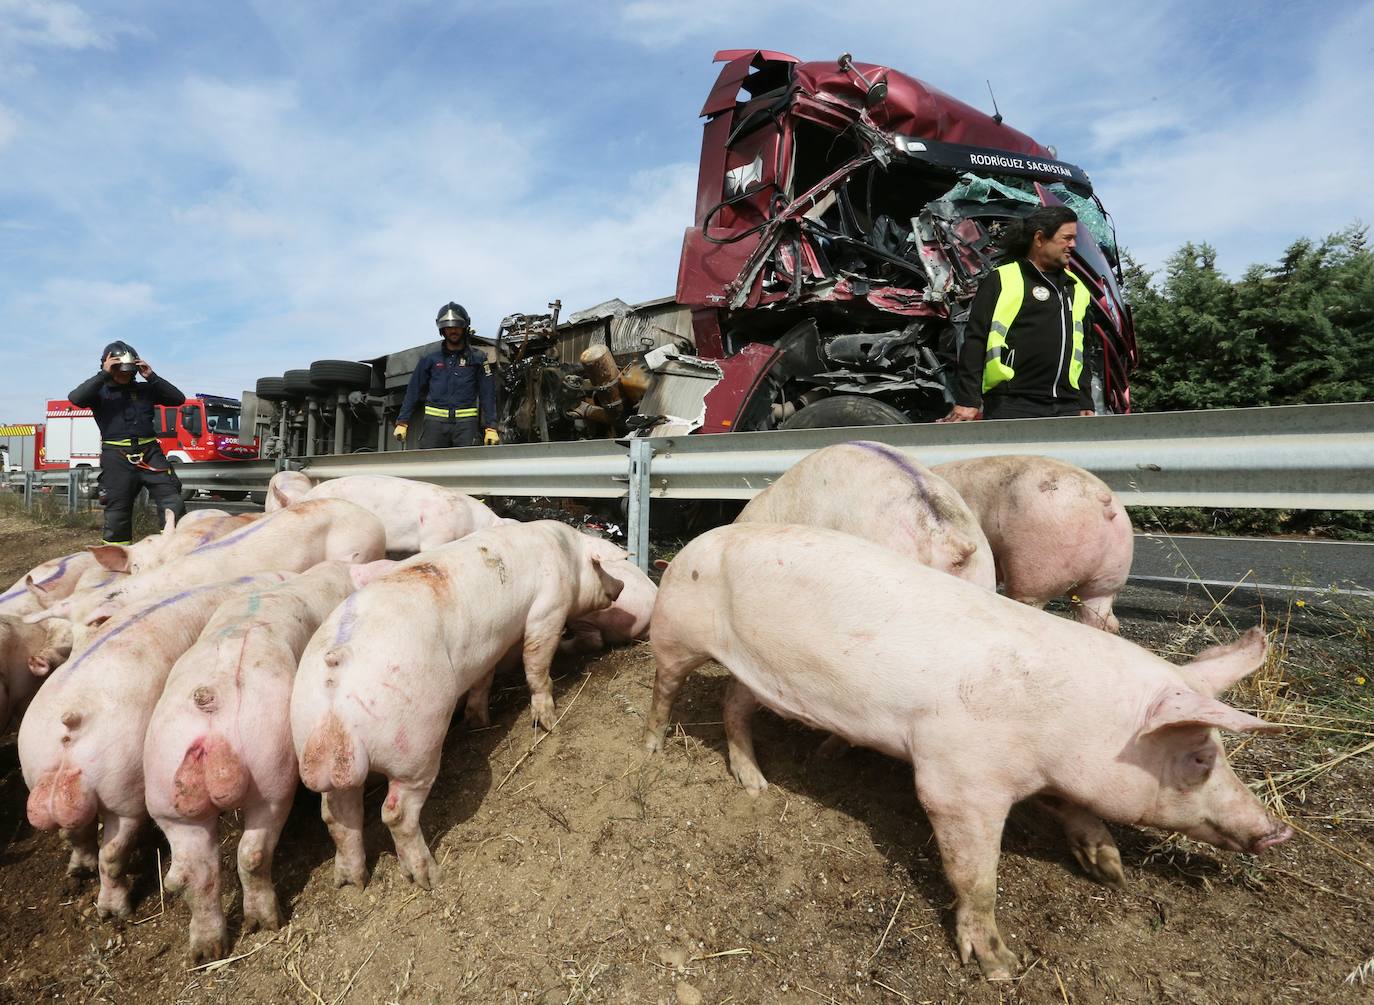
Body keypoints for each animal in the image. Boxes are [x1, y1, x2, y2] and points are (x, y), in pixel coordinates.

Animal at [295, 522, 629, 890]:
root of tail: (337, 664)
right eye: (600, 566)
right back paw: (428, 877)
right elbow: (537, 663)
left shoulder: (488, 648)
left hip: (315, 739)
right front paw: (549, 723)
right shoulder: (548, 610)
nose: (621, 586)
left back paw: (351, 881)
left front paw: (478, 722)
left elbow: (484, 678)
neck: (565, 553)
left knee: (335, 814)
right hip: (416, 744)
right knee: (394, 812)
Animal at [643, 527, 1286, 984]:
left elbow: (1074, 811)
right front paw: (1001, 968)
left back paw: (756, 783)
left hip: (752, 674)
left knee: (733, 704)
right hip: (675, 632)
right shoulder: (956, 779)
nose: (1276, 831)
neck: (1072, 727)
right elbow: (975, 874)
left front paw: (1110, 870)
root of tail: (701, 541)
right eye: (1199, 758)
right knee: (664, 687)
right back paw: (653, 748)